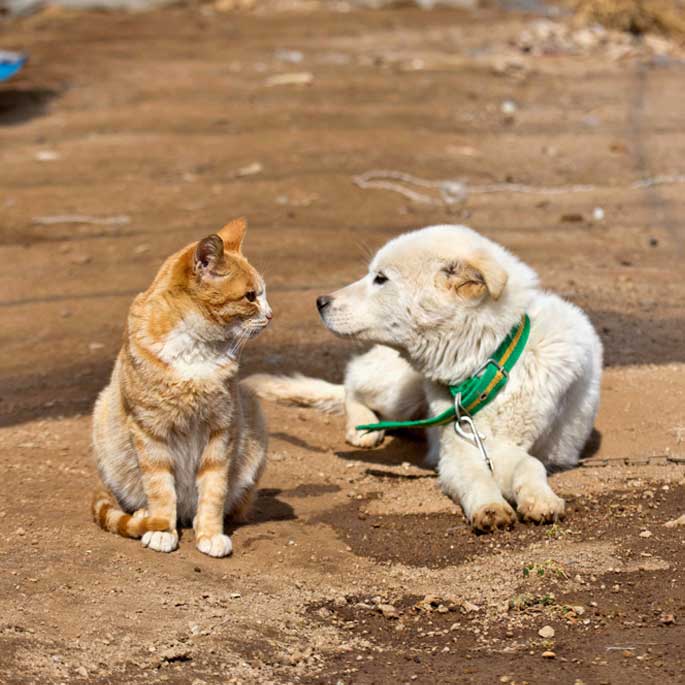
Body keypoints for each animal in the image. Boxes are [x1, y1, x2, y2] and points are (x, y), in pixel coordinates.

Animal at [90, 219, 270, 556]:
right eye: (250, 296)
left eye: (261, 295)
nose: (270, 315)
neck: (194, 346)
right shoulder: (149, 429)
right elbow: (160, 489)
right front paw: (161, 528)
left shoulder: (221, 428)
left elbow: (213, 490)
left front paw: (210, 534)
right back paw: (147, 515)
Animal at [248, 227, 600, 532]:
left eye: (380, 279)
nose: (320, 301)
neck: (487, 364)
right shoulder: (457, 452)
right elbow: (477, 478)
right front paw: (490, 507)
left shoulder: (507, 445)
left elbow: (530, 464)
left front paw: (541, 499)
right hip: (399, 393)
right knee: (353, 382)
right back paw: (361, 428)